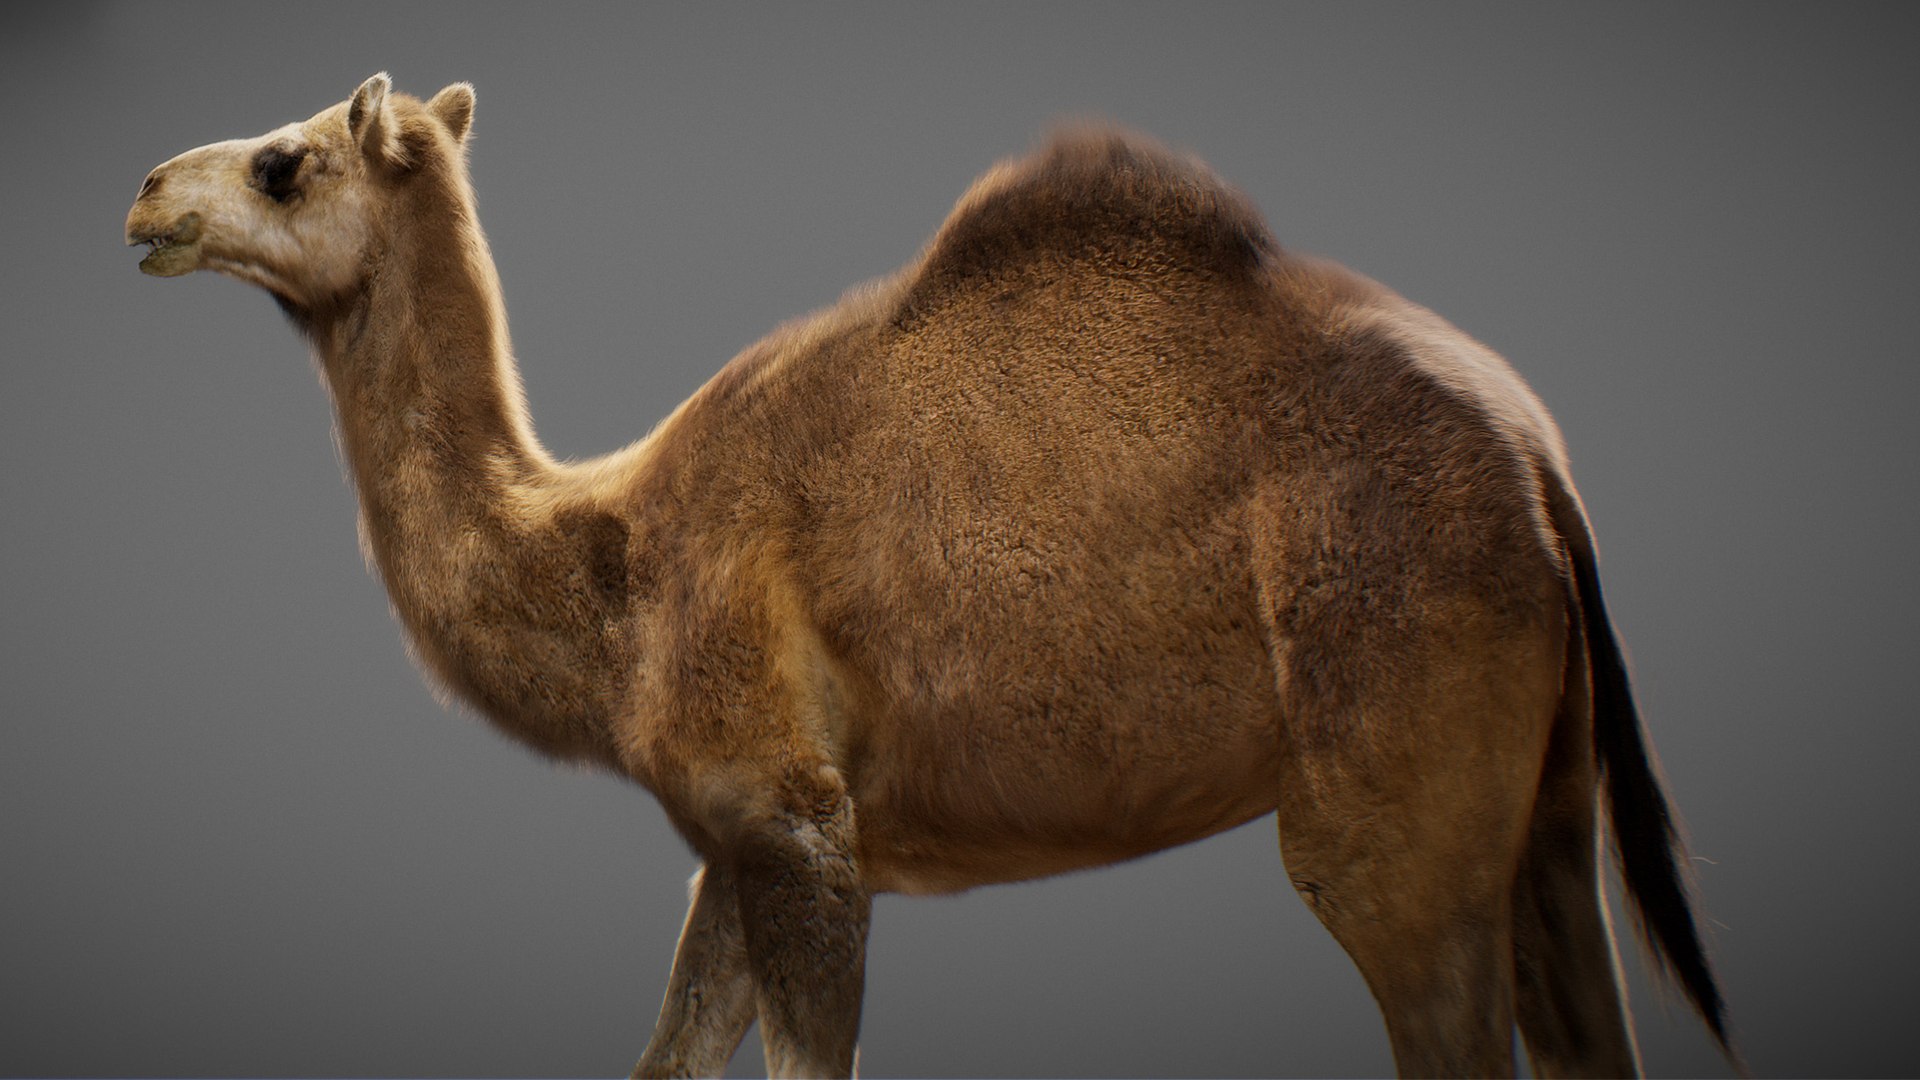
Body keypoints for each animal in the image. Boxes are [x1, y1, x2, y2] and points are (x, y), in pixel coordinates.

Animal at [126, 74, 1733, 1078]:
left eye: (286, 161)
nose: (145, 194)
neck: (616, 566)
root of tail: (1541, 473)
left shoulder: (793, 819)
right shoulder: (735, 845)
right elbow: (664, 1052)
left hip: (1392, 773)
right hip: (1549, 801)